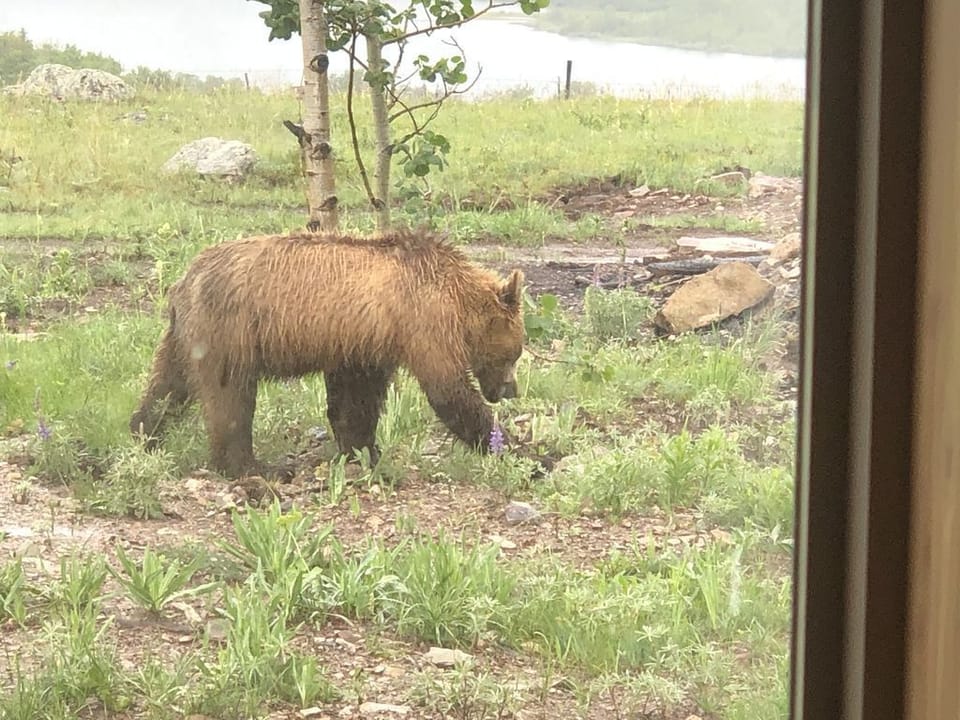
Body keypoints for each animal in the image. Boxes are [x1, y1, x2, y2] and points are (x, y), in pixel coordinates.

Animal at [129, 230, 526, 478]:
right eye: (516, 352)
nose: (511, 389)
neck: (457, 299)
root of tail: (184, 281)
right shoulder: (422, 321)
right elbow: (448, 391)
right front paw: (519, 450)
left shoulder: (362, 341)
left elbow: (355, 401)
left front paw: (362, 451)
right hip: (229, 333)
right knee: (231, 401)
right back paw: (255, 467)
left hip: (186, 337)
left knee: (166, 387)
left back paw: (143, 435)